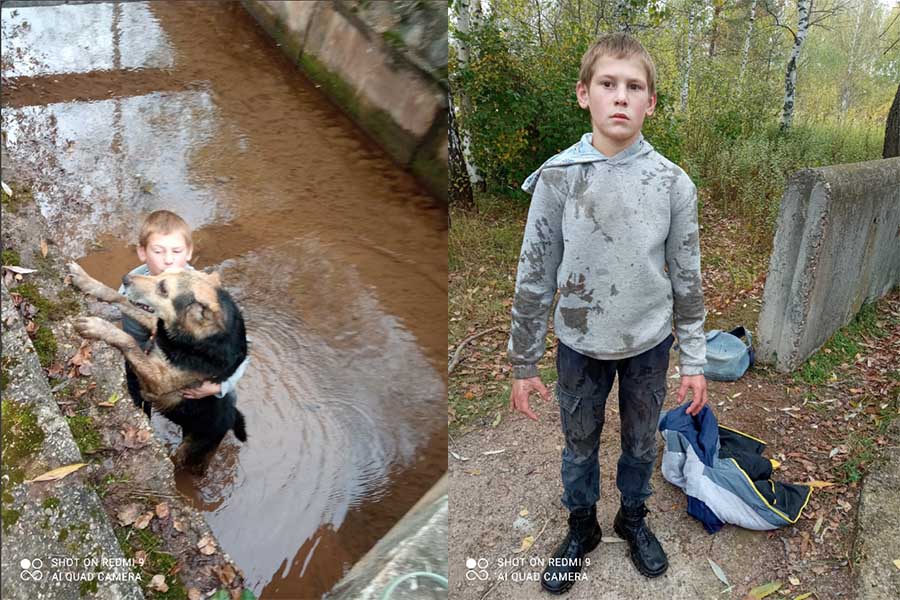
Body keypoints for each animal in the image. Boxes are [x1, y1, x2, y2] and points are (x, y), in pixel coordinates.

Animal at [68, 262, 248, 474]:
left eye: (163, 289)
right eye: (161, 273)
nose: (125, 278)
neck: (194, 339)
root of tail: (232, 417)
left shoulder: (159, 382)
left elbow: (128, 340)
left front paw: (100, 327)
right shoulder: (158, 325)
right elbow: (120, 298)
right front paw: (86, 280)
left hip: (193, 452)